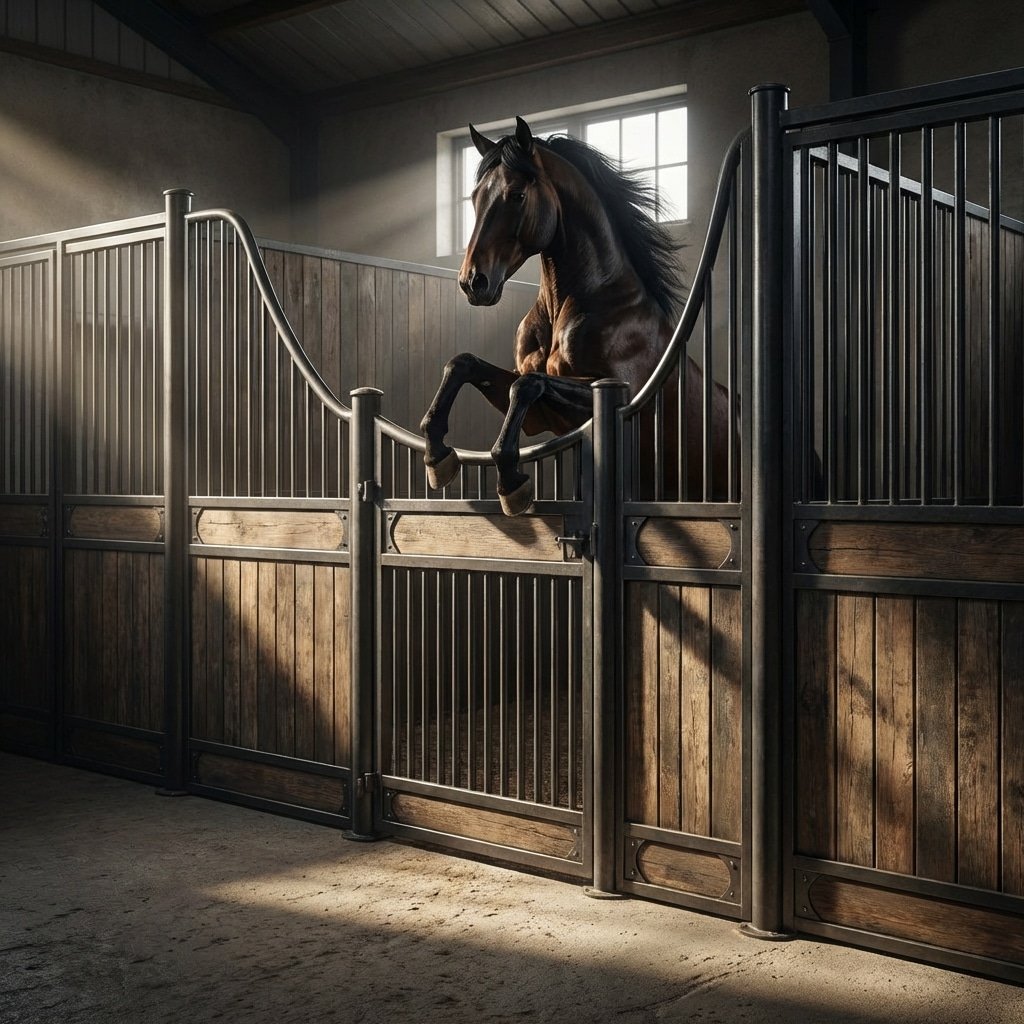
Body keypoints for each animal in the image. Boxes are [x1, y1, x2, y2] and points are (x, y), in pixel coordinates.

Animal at [420, 116, 728, 515]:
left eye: (517, 195)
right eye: (474, 198)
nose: (473, 282)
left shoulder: (611, 399)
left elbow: (527, 384)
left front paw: (512, 484)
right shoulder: (542, 417)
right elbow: (463, 364)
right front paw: (437, 456)